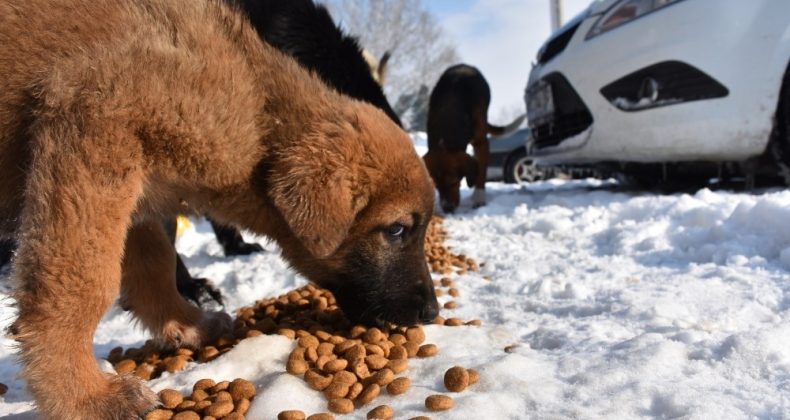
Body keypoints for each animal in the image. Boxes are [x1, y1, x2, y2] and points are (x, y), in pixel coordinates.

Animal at [0, 0, 440, 416]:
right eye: (397, 229)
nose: (432, 312)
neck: (259, 110)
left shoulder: (137, 189)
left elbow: (154, 265)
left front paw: (186, 323)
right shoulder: (93, 128)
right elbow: (83, 282)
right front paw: (84, 397)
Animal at [424, 64, 528, 215]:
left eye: (453, 182)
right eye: (436, 186)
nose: (447, 209)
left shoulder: (482, 143)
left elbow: (481, 172)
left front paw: (479, 198)